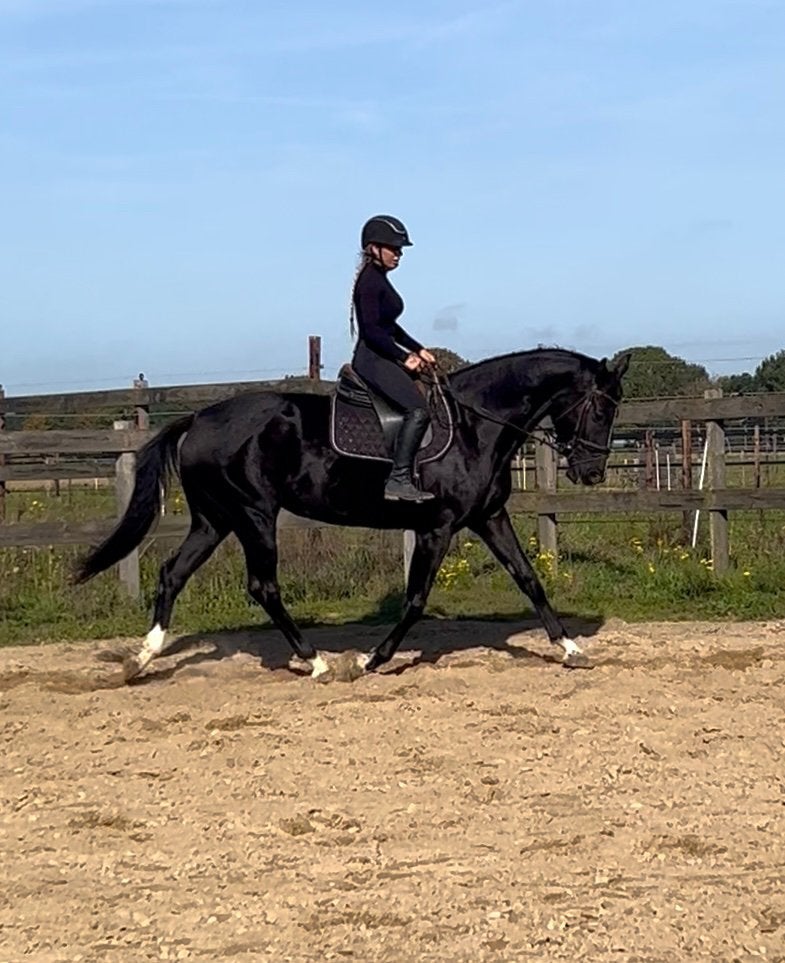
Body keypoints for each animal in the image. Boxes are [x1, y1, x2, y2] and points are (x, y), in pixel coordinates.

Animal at [75, 347, 630, 681]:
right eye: (602, 409)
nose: (592, 473)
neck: (476, 426)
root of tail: (198, 417)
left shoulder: (488, 518)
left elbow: (529, 579)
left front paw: (571, 650)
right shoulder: (437, 528)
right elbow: (415, 600)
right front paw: (370, 658)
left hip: (216, 520)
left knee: (173, 574)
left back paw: (142, 658)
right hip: (254, 515)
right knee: (263, 587)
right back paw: (317, 661)